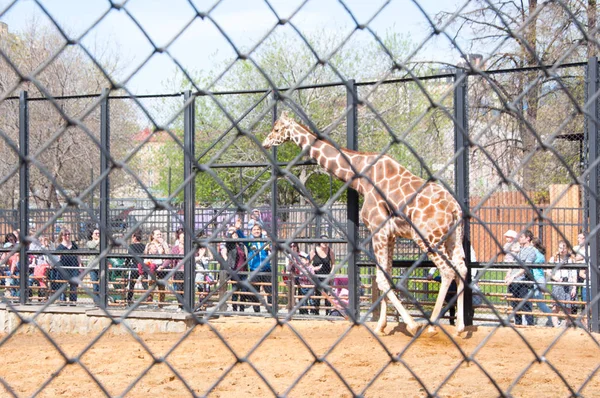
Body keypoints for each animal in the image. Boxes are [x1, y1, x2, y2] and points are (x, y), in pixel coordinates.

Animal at [264, 112, 468, 336]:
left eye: (276, 129)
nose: (265, 142)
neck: (361, 175)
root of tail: (455, 208)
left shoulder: (378, 229)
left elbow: (381, 279)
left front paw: (411, 324)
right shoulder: (390, 234)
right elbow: (385, 276)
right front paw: (381, 326)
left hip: (428, 238)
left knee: (447, 270)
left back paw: (431, 326)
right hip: (453, 237)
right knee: (462, 268)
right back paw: (460, 327)